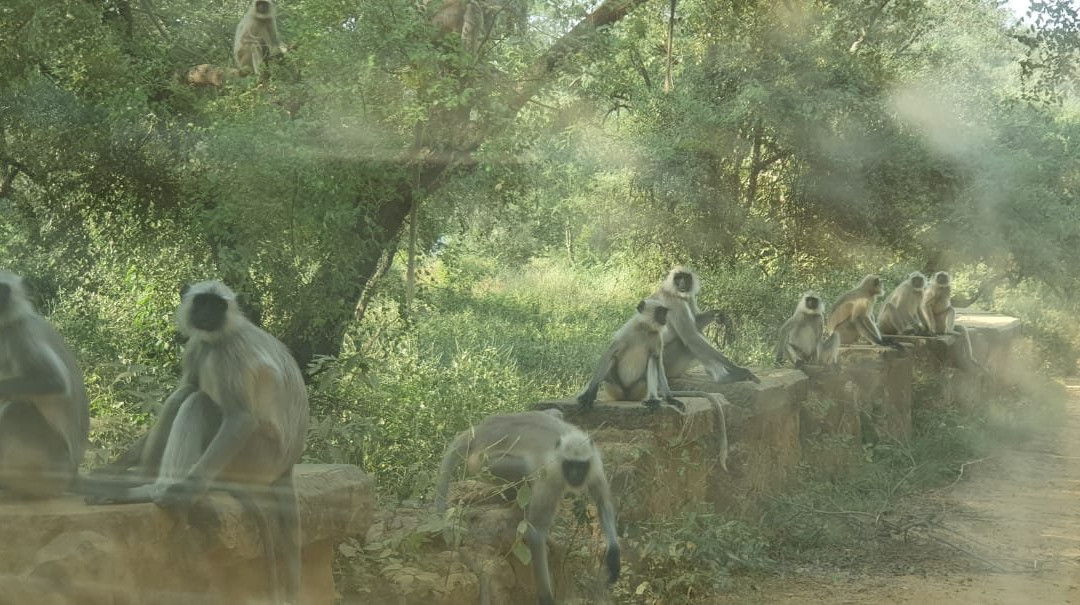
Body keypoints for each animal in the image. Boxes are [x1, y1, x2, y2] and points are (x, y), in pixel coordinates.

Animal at [0, 272, 88, 499]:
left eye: (2, 290)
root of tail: (73, 474)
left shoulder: (20, 335)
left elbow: (54, 382)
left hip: (51, 464)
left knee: (16, 409)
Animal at [88, 280, 308, 605]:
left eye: (217, 305)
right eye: (202, 302)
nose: (207, 314)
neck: (220, 334)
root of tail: (286, 465)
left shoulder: (231, 353)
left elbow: (241, 418)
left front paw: (181, 493)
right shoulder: (196, 346)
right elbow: (187, 384)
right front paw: (112, 468)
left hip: (254, 456)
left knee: (200, 402)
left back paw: (153, 490)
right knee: (185, 395)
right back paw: (141, 480)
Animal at [429, 408, 617, 600]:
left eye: (580, 466)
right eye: (569, 465)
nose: (575, 476)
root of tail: (479, 430)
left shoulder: (595, 465)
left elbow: (603, 503)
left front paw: (613, 559)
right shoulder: (551, 476)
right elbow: (536, 533)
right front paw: (546, 597)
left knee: (555, 411)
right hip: (482, 461)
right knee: (528, 470)